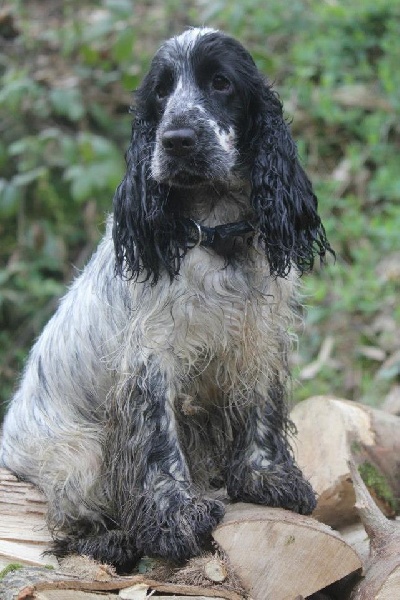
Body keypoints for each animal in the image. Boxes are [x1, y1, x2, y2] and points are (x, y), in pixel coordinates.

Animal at [0, 28, 332, 572]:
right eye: (161, 92)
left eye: (221, 83)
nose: (176, 140)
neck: (215, 231)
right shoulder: (150, 358)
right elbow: (160, 442)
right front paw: (174, 520)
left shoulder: (260, 339)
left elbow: (261, 411)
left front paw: (268, 479)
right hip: (77, 453)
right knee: (66, 524)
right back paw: (113, 541)